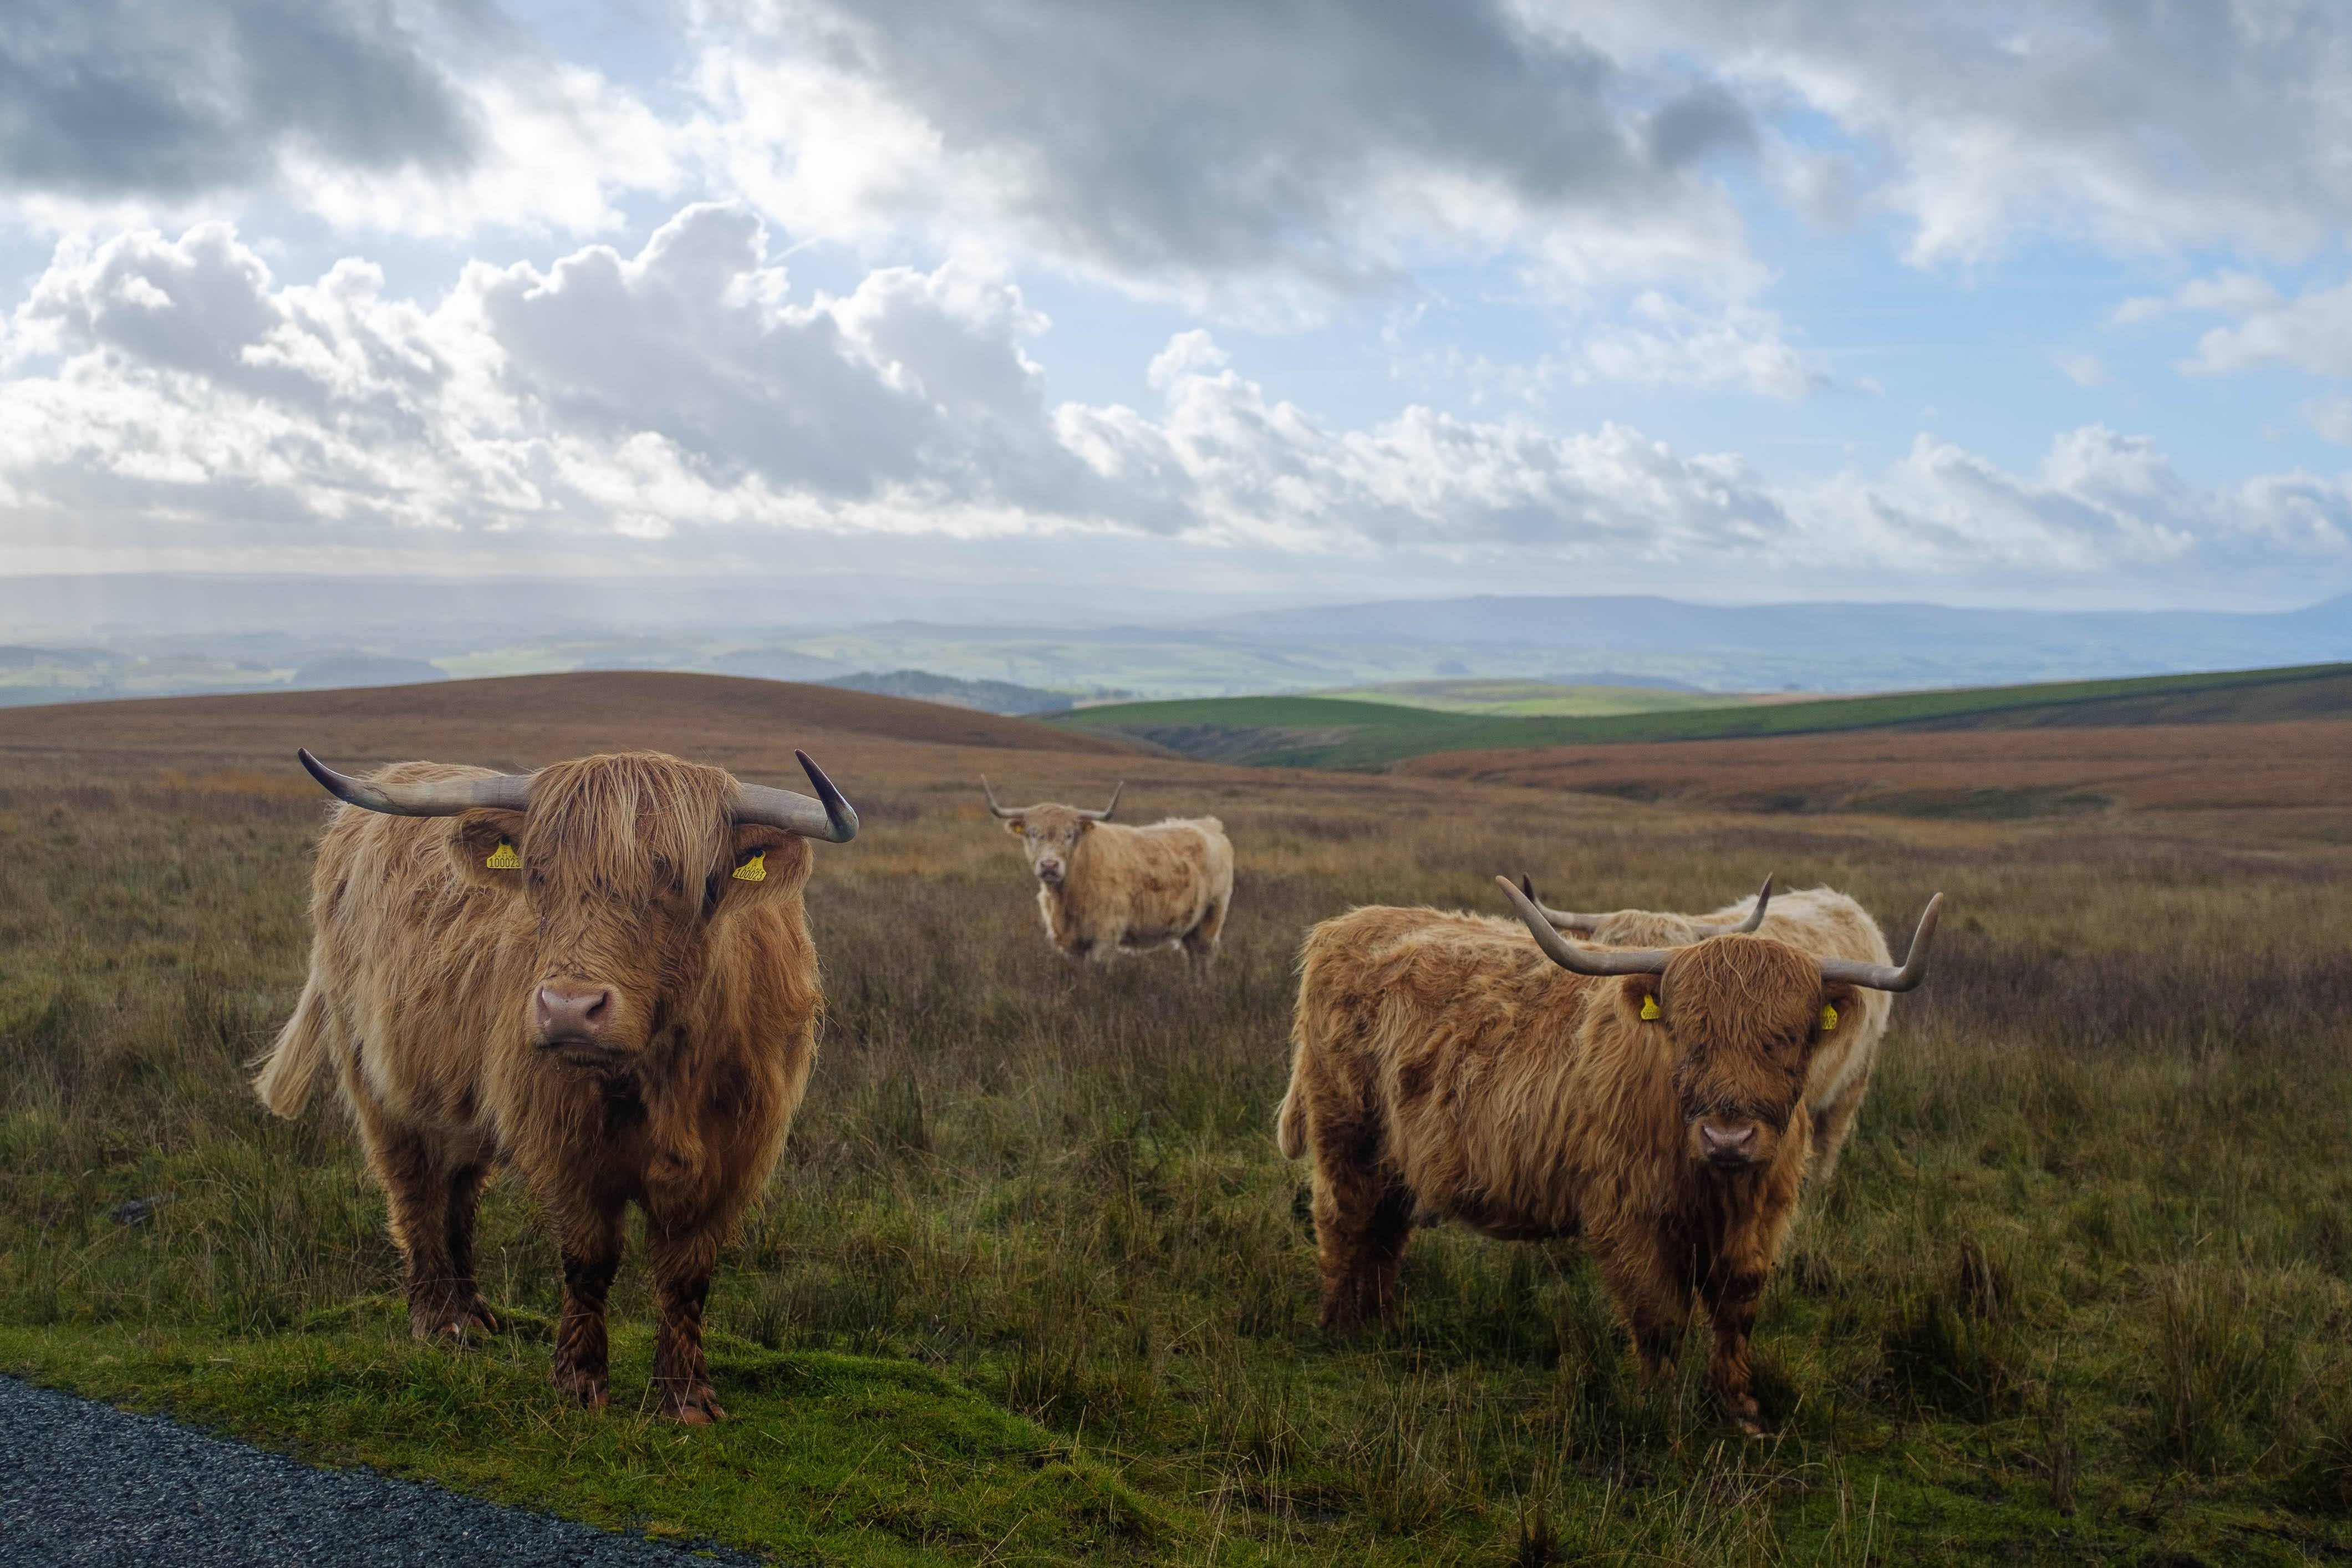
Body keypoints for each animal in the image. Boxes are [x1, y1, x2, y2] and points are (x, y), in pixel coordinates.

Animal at [253, 747, 861, 1419]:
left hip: (458, 1099)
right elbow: (589, 1258)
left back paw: (473, 1312)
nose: (570, 1009)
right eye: (540, 877)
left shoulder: (736, 1155)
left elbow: (688, 1272)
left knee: (460, 1189)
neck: (664, 1074)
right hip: (380, 1081)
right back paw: (438, 1320)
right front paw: (579, 1383)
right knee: (414, 1188)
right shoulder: (565, 1142)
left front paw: (685, 1397)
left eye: (679, 882)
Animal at [978, 776, 1232, 968]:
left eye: (1070, 834)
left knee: (1203, 959)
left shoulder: (1105, 939)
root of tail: (1209, 824)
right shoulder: (1074, 945)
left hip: (1211, 918)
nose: (1050, 866)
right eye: (1032, 833)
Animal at [1279, 879, 1938, 1429]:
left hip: (1397, 1155)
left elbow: (1737, 1306)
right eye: (1690, 1034)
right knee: (1344, 1219)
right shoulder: (1629, 1215)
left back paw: (1381, 1323)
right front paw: (1662, 1408)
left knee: (1385, 1232)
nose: (1728, 1138)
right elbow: (1659, 1314)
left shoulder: (1765, 1214)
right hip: (1346, 1130)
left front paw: (1740, 1407)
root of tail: (1346, 924)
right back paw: (1339, 1326)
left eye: (1787, 1038)